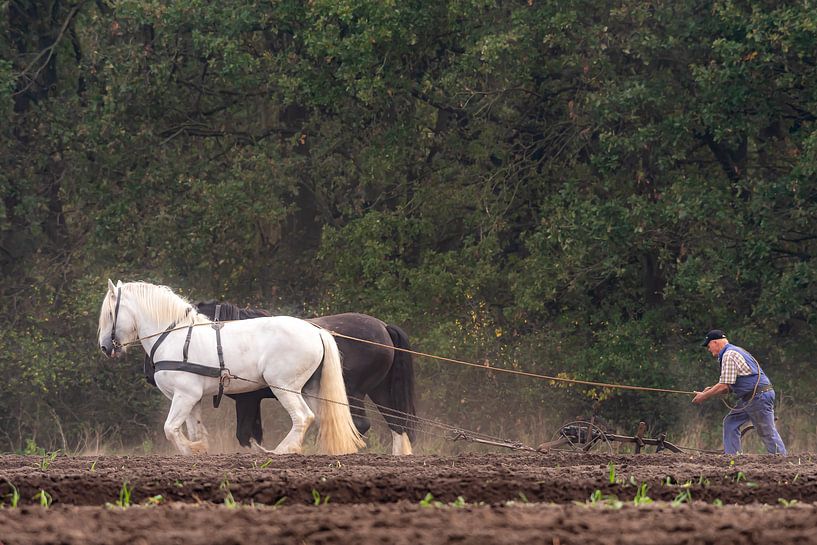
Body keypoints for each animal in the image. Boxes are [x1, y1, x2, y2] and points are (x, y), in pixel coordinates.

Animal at [97, 280, 365, 455]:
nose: (104, 347)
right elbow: (194, 429)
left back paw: (282, 450)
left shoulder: (185, 396)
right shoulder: (193, 398)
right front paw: (200, 448)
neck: (173, 336)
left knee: (303, 417)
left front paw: (191, 449)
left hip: (284, 386)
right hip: (310, 388)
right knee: (323, 418)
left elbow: (170, 429)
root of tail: (316, 330)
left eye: (110, 313)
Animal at [189, 301, 417, 455]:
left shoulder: (248, 399)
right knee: (397, 424)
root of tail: (384, 327)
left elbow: (245, 434)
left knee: (359, 424)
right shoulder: (253, 401)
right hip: (380, 391)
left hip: (354, 392)